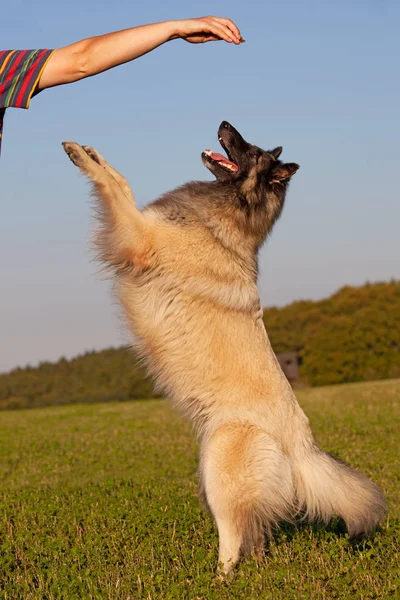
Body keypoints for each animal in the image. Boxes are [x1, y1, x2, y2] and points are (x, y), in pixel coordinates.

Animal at [63, 120, 388, 572]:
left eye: (250, 151)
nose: (224, 123)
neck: (226, 214)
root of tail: (302, 447)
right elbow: (122, 180)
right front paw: (91, 152)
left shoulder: (139, 236)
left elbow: (113, 188)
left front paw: (81, 158)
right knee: (256, 536)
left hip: (218, 469)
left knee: (233, 540)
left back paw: (215, 578)